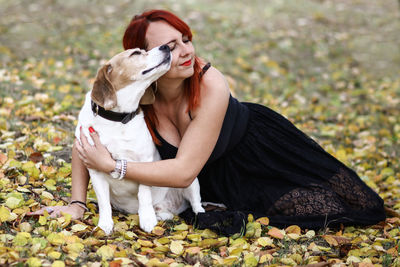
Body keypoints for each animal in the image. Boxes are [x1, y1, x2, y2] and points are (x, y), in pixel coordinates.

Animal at [76, 45, 203, 236]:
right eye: (136, 53)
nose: (166, 46)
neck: (118, 120)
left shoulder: (145, 162)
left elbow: (144, 194)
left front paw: (147, 219)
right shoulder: (95, 169)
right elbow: (104, 203)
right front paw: (104, 224)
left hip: (191, 180)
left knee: (196, 204)